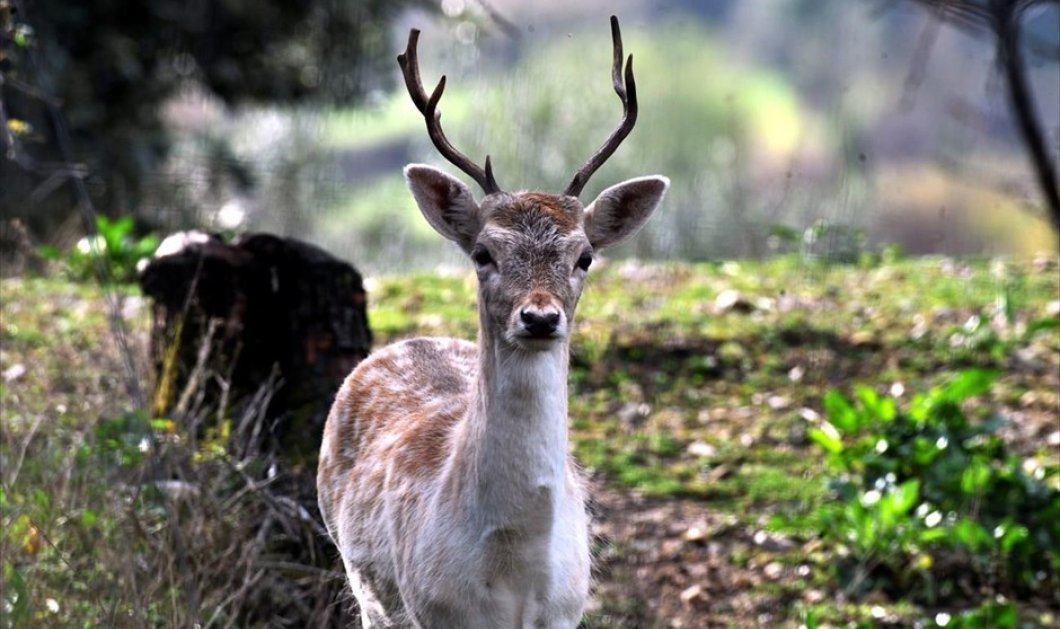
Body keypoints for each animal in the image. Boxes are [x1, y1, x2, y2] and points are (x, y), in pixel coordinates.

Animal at [313, 17, 665, 623]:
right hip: (365, 586)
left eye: (584, 257)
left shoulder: (567, 610)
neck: (514, 568)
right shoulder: (435, 609)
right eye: (483, 253)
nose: (540, 317)